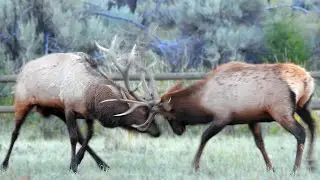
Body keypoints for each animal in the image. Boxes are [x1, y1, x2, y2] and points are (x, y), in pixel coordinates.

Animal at [0, 36, 160, 173]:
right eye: (144, 111)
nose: (158, 131)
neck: (89, 94)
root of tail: (21, 72)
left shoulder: (87, 114)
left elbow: (88, 136)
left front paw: (77, 161)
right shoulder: (69, 109)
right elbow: (73, 138)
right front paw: (73, 165)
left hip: (57, 111)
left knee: (81, 137)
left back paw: (102, 164)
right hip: (22, 102)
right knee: (15, 133)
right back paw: (5, 164)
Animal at [156, 61, 316, 174]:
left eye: (168, 117)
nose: (178, 131)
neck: (203, 101)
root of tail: (306, 79)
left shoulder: (222, 117)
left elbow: (204, 137)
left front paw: (194, 166)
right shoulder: (252, 119)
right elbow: (260, 143)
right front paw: (271, 168)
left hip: (281, 112)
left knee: (301, 133)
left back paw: (295, 169)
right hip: (303, 106)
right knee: (313, 126)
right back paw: (310, 164)